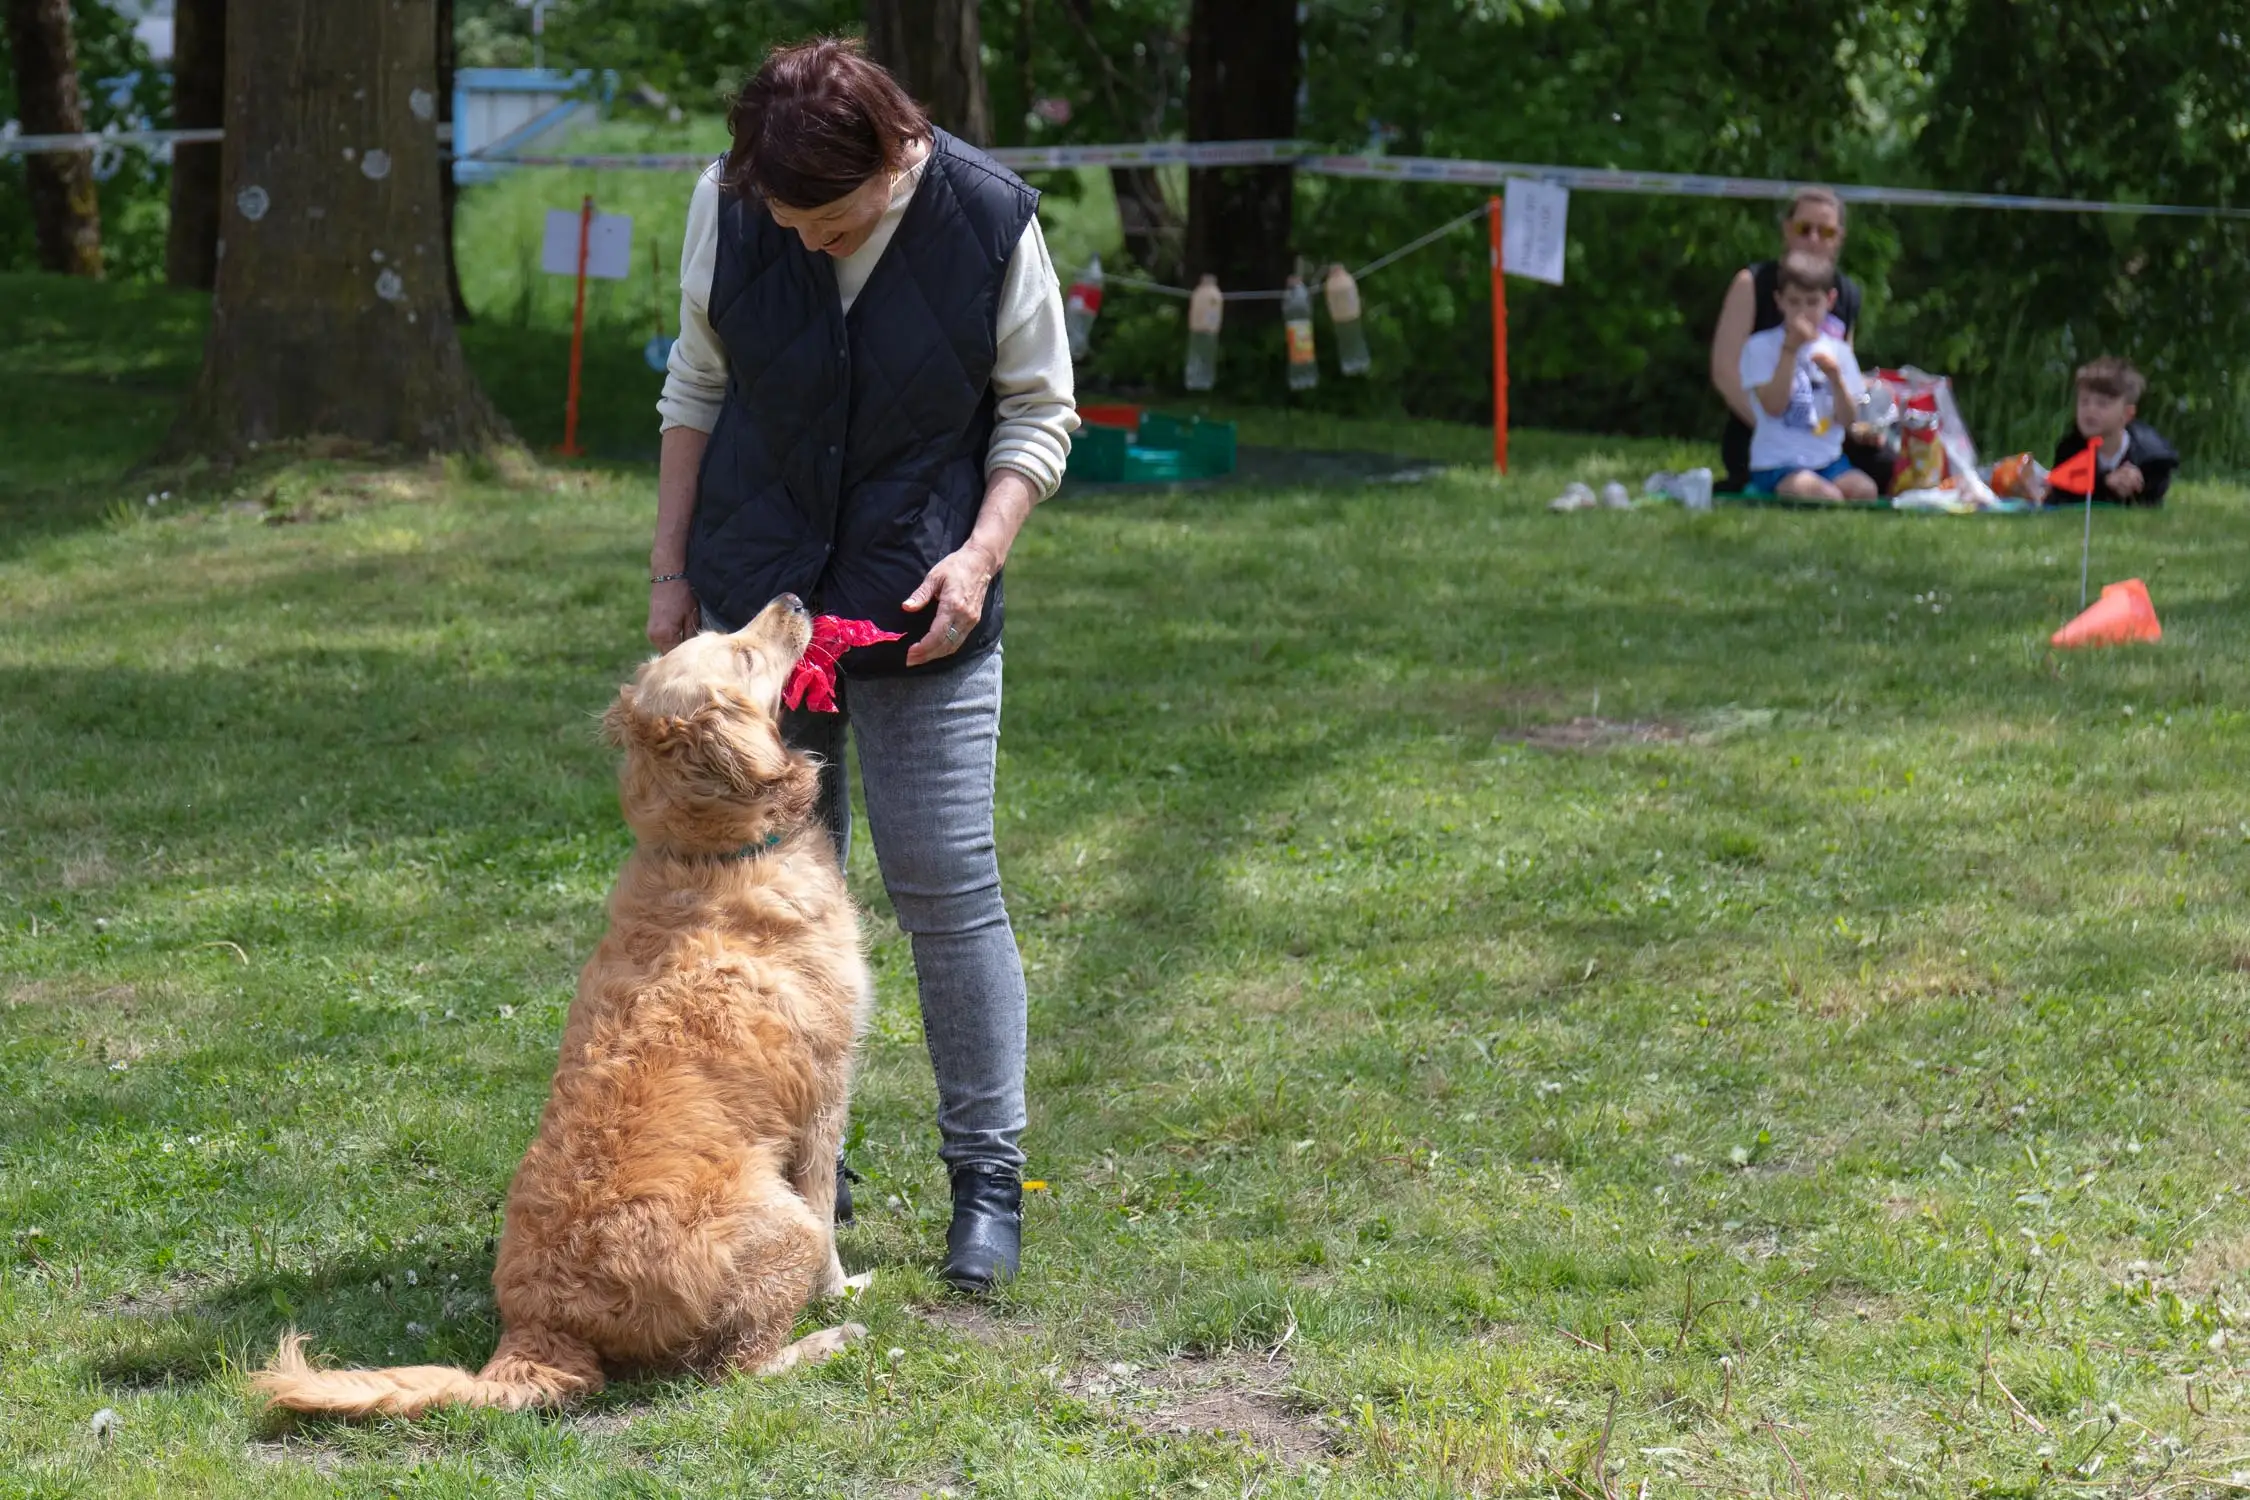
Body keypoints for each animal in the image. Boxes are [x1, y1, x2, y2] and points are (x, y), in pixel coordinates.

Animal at [254, 595, 872, 1417]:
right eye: (741, 654)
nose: (795, 600)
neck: (706, 854)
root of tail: (544, 1325)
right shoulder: (825, 1098)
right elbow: (830, 1207)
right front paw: (842, 1292)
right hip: (782, 1228)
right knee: (735, 1368)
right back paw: (827, 1341)